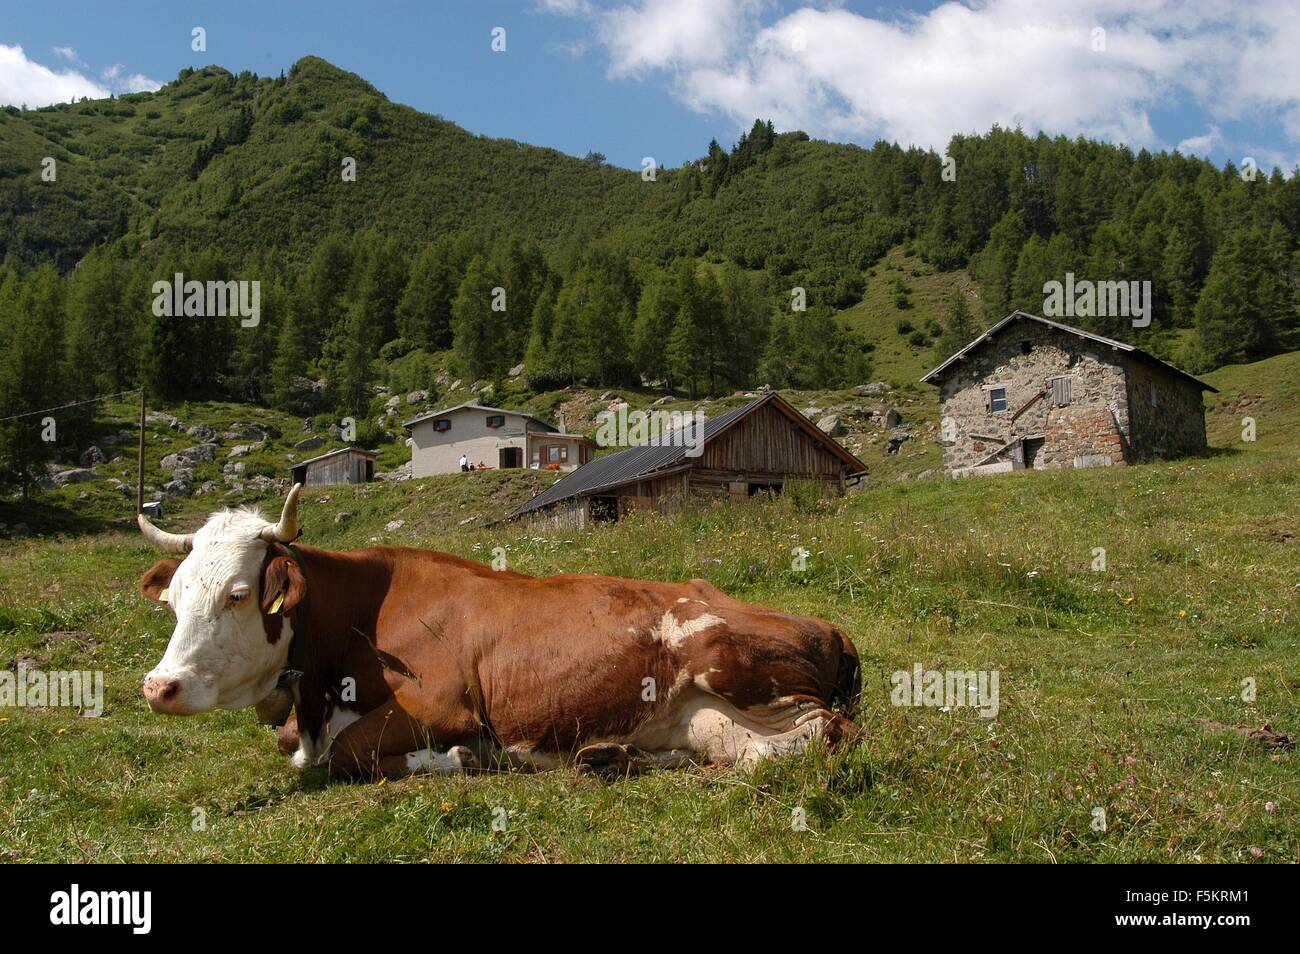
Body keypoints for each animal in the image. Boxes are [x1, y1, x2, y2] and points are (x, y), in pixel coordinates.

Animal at [137, 486, 863, 779]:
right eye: (175, 597)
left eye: (237, 594)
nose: (157, 687)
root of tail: (828, 623)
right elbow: (297, 745)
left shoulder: (442, 705)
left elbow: (346, 754)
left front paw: (461, 759)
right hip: (703, 718)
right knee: (742, 749)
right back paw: (613, 756)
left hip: (730, 662)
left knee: (826, 735)